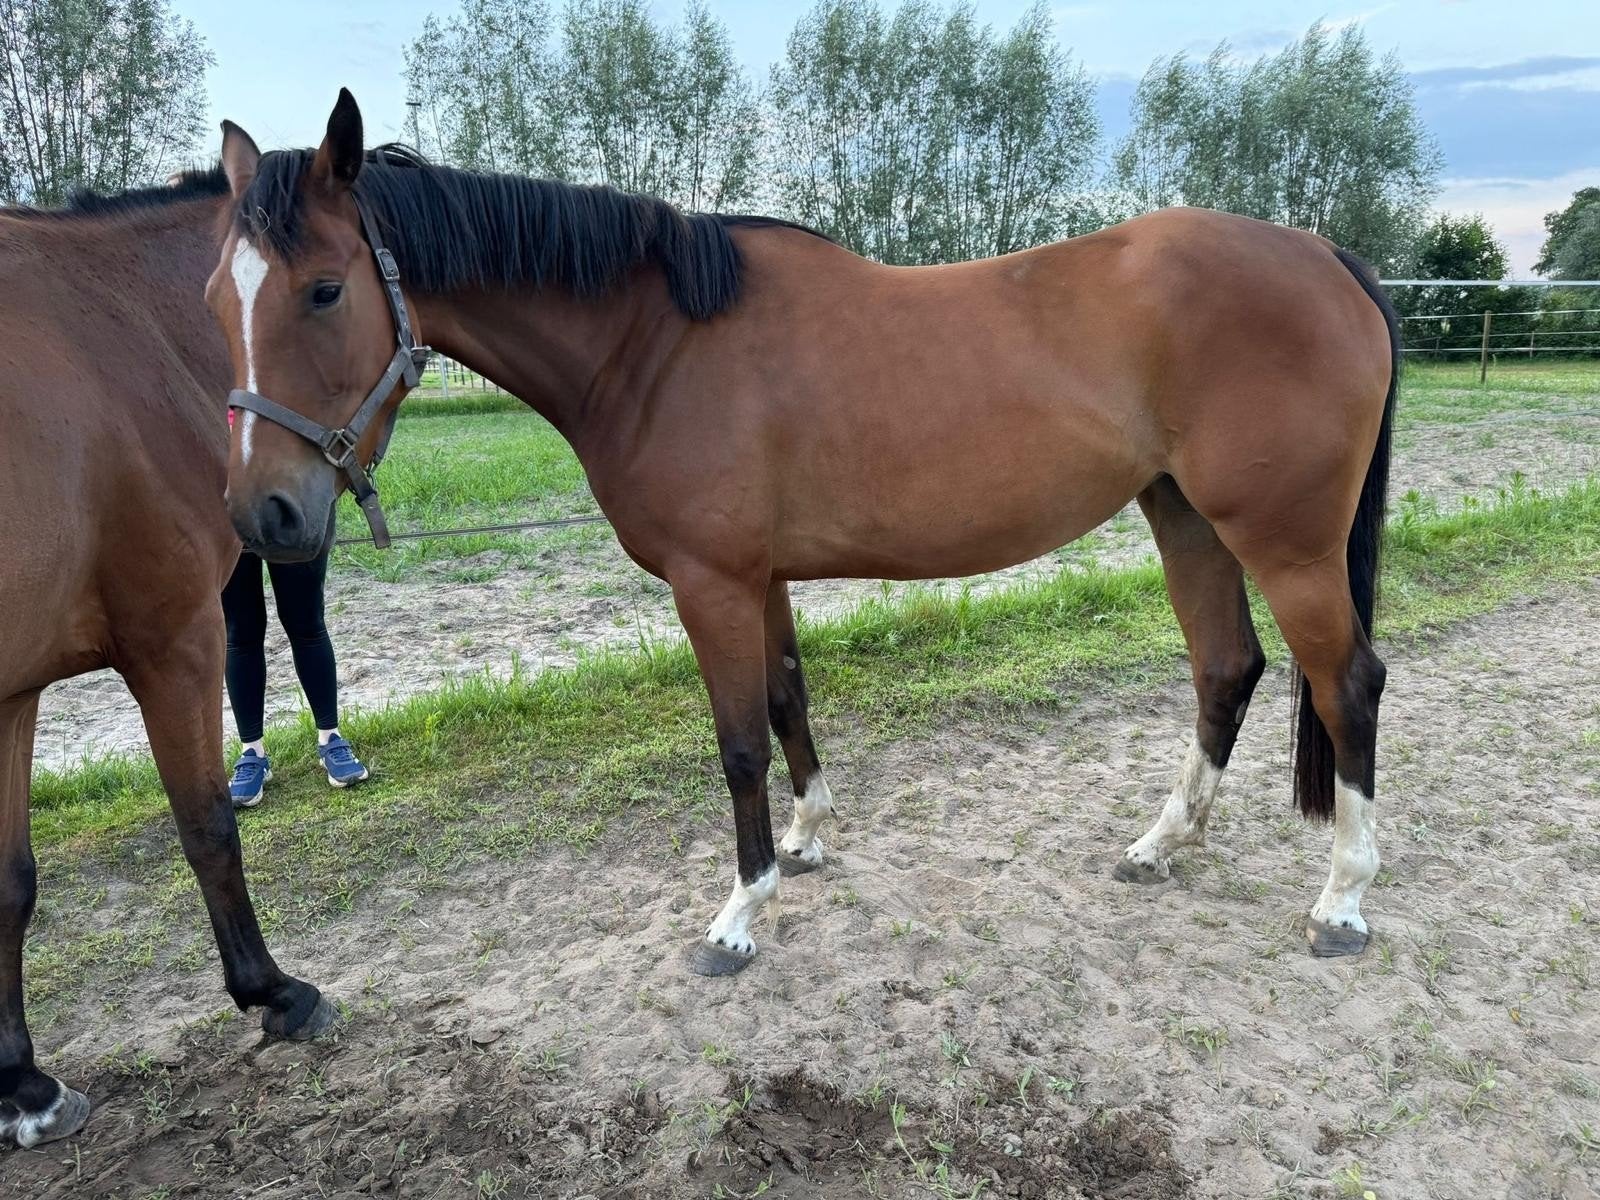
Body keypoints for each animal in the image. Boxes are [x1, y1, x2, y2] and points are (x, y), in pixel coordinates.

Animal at [0, 172, 332, 1148]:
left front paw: (26, 1085)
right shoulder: (176, 640)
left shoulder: (14, 695)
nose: (275, 514)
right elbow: (208, 825)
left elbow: (12, 883)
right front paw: (274, 992)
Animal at [212, 91, 1397, 978]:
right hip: (1185, 518)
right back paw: (1160, 845)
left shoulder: (711, 583)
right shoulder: (759, 577)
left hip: (1284, 544)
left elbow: (737, 739)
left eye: (324, 290)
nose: (263, 513)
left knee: (1347, 682)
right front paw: (809, 838)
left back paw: (1342, 900)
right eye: (220, 299)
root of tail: (1323, 256)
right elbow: (787, 700)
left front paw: (739, 916)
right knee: (1226, 668)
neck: (654, 344)